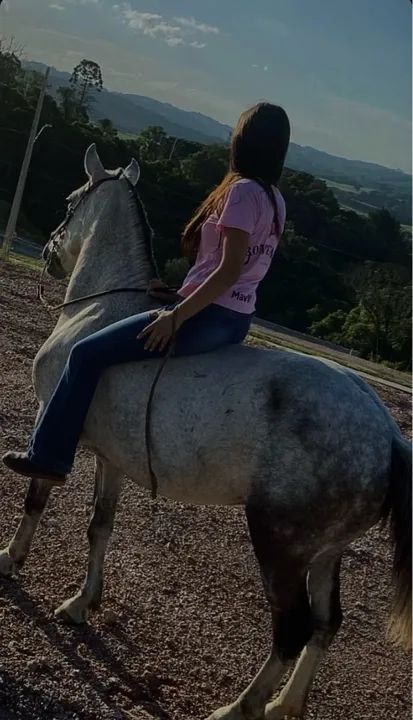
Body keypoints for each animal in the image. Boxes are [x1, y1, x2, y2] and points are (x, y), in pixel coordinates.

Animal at [0, 145, 410, 720]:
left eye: (69, 201)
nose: (49, 253)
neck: (99, 308)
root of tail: (387, 433)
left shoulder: (50, 419)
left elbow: (37, 496)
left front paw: (8, 559)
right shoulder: (112, 457)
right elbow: (100, 526)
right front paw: (82, 603)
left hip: (282, 544)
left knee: (291, 629)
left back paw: (241, 708)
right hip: (326, 551)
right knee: (327, 624)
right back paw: (285, 704)